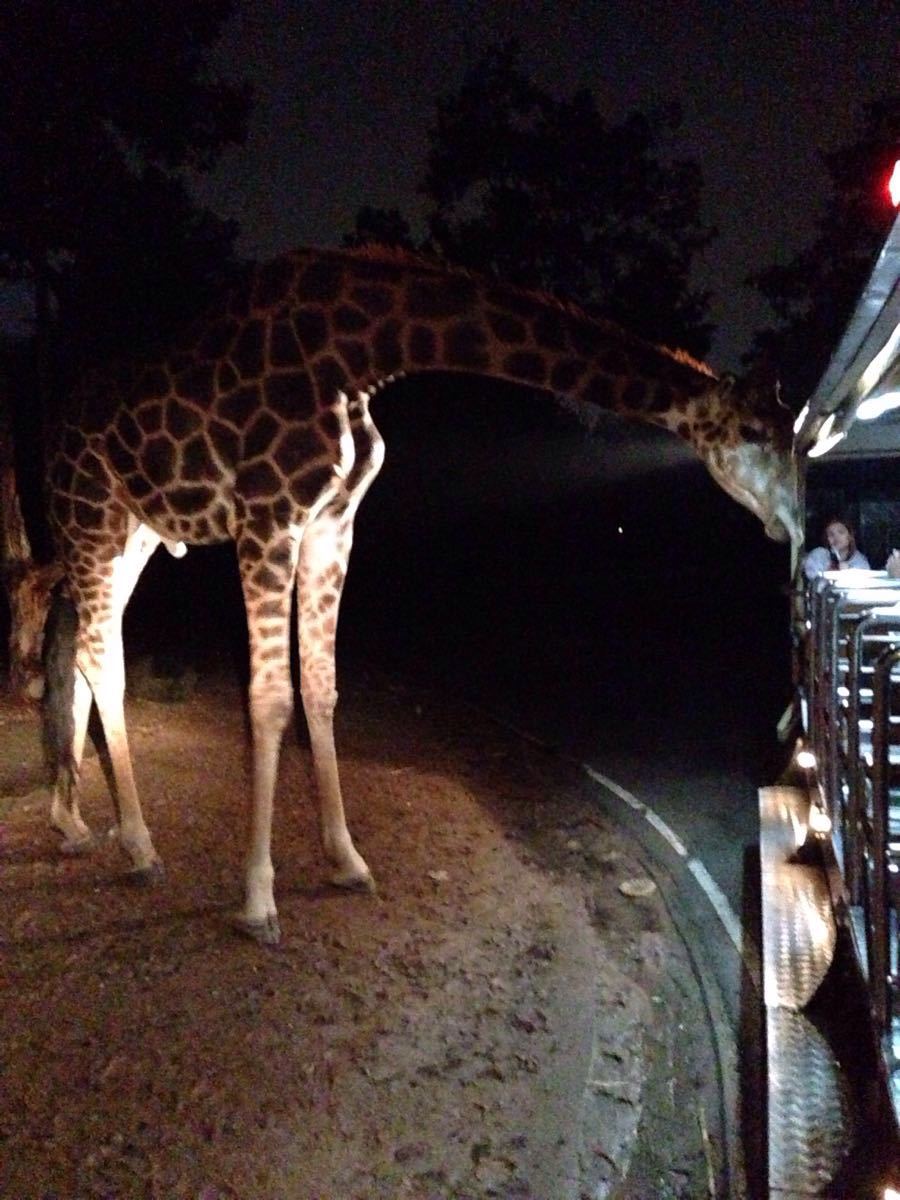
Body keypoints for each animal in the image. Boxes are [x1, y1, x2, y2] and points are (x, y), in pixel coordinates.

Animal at [45, 243, 801, 940]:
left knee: (88, 650)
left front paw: (346, 860)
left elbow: (320, 686)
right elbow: (269, 699)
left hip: (135, 534)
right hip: (90, 518)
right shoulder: (268, 515)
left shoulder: (333, 523)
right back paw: (138, 846)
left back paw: (72, 820)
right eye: (753, 431)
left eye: (792, 436)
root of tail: (53, 430)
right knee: (100, 658)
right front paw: (258, 900)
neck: (363, 354)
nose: (792, 521)